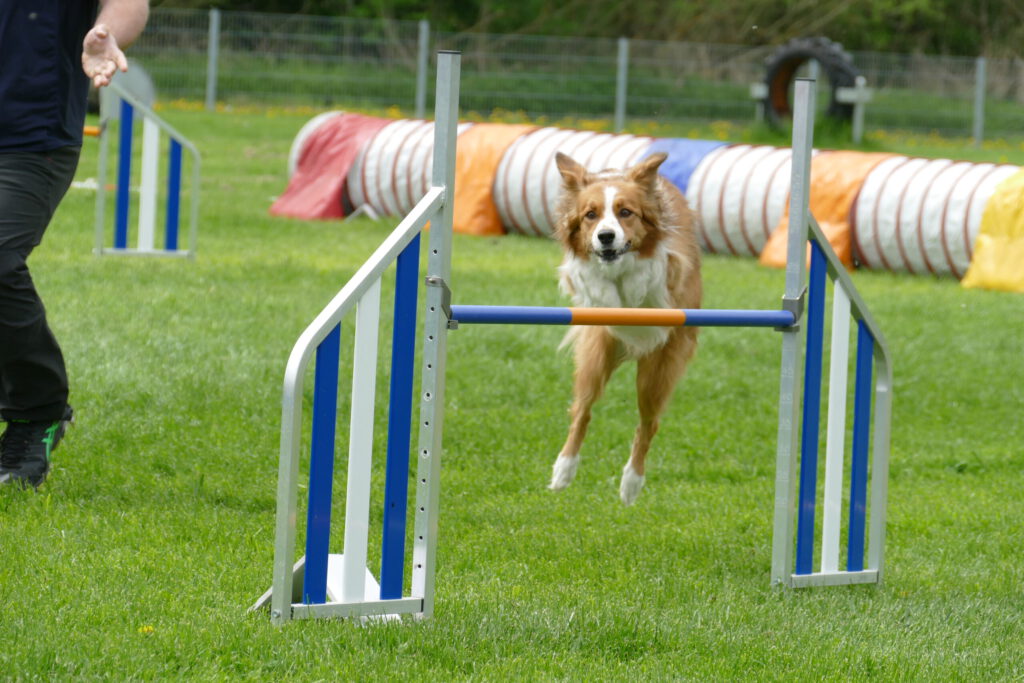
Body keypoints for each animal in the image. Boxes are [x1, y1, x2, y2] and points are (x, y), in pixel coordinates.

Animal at [549, 151, 702, 505]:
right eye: (590, 215)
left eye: (625, 212)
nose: (606, 237)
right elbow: (592, 280)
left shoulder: (670, 273)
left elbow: (645, 275)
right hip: (596, 354)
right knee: (582, 411)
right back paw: (563, 470)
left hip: (657, 371)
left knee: (647, 424)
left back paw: (631, 483)